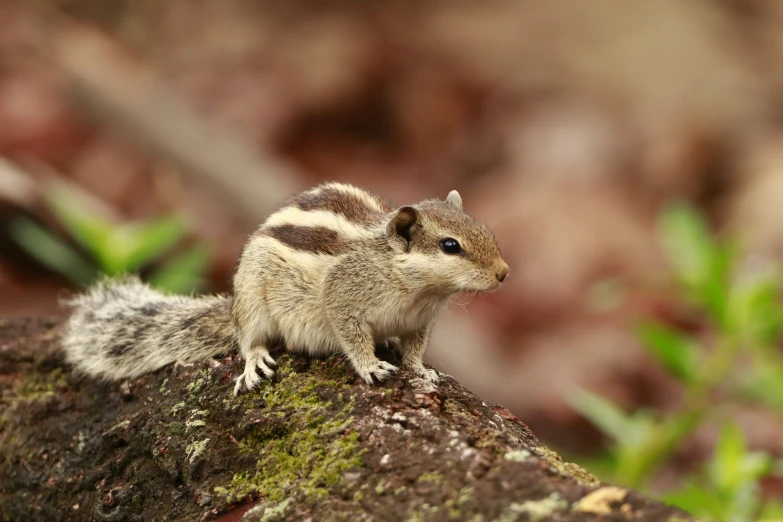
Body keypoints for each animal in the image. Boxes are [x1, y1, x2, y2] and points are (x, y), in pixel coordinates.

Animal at [62, 181, 516, 392]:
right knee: (247, 339)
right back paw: (254, 360)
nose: (504, 273)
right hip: (251, 299)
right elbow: (351, 335)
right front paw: (370, 365)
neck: (415, 288)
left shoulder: (421, 321)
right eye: (450, 246)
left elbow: (416, 348)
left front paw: (420, 370)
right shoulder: (344, 297)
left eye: (481, 228)